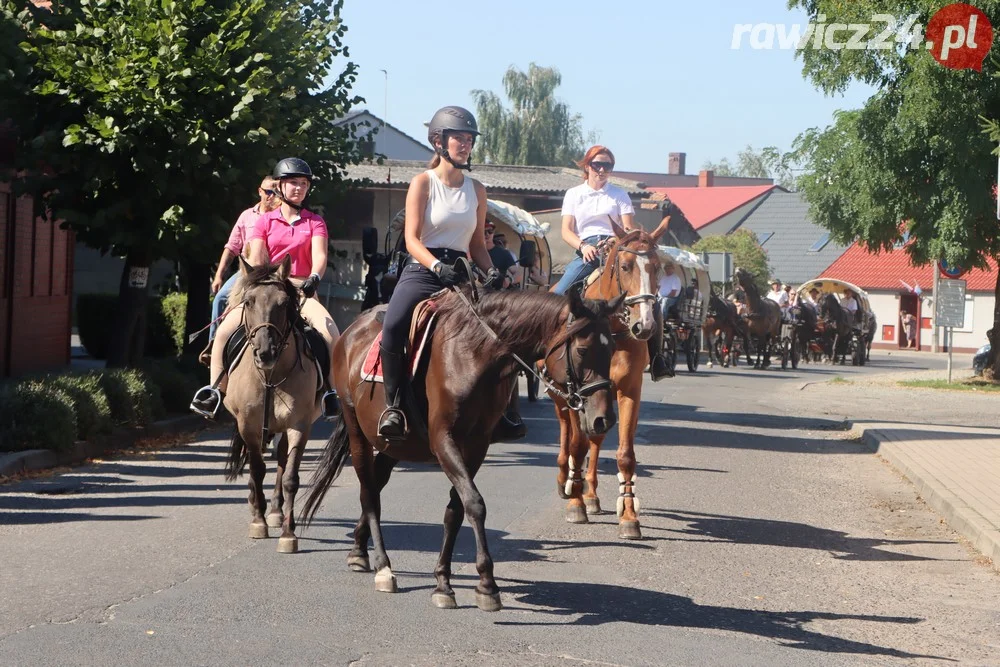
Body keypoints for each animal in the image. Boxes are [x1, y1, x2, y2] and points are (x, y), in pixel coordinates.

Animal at [220, 258, 326, 556]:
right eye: (249, 302)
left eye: (283, 303)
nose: (265, 352)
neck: (270, 375)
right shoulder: (248, 425)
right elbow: (257, 469)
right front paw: (258, 521)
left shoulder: (299, 426)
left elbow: (290, 477)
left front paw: (288, 534)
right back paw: (256, 503)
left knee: (280, 460)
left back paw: (278, 512)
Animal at [300, 286, 620, 612]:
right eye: (582, 350)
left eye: (611, 351)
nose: (604, 420)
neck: (474, 356)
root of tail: (351, 331)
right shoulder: (444, 440)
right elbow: (475, 504)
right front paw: (487, 584)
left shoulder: (476, 445)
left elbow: (456, 510)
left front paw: (443, 582)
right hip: (357, 431)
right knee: (368, 493)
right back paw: (383, 566)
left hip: (394, 445)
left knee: (375, 485)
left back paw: (358, 550)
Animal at [548, 220, 672, 544]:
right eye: (626, 266)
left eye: (657, 267)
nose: (645, 326)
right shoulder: (575, 394)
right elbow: (577, 445)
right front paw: (575, 504)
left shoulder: (628, 390)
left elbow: (624, 454)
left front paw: (629, 517)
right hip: (560, 398)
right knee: (566, 433)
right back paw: (566, 482)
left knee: (596, 437)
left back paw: (590, 494)